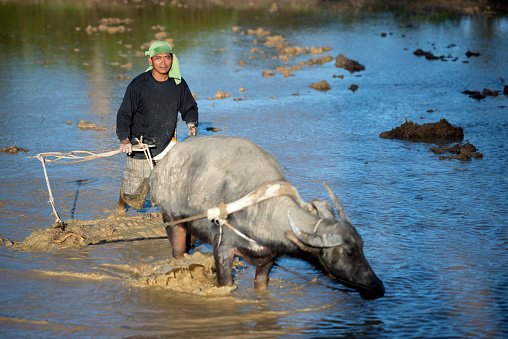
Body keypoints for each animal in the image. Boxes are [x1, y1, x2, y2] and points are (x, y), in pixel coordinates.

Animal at [151, 135, 384, 300]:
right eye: (349, 252)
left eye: (362, 246)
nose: (378, 287)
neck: (261, 210)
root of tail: (162, 166)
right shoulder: (223, 250)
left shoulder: (269, 258)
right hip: (170, 219)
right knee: (177, 250)